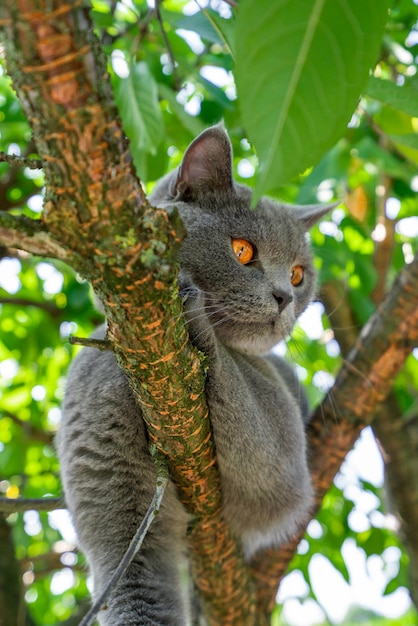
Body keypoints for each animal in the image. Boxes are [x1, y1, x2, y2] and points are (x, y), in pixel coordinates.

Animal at [58, 124, 330, 620]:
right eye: (242, 250)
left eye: (299, 275)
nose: (284, 297)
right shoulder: (109, 482)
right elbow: (133, 576)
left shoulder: (286, 464)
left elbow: (273, 475)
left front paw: (197, 318)